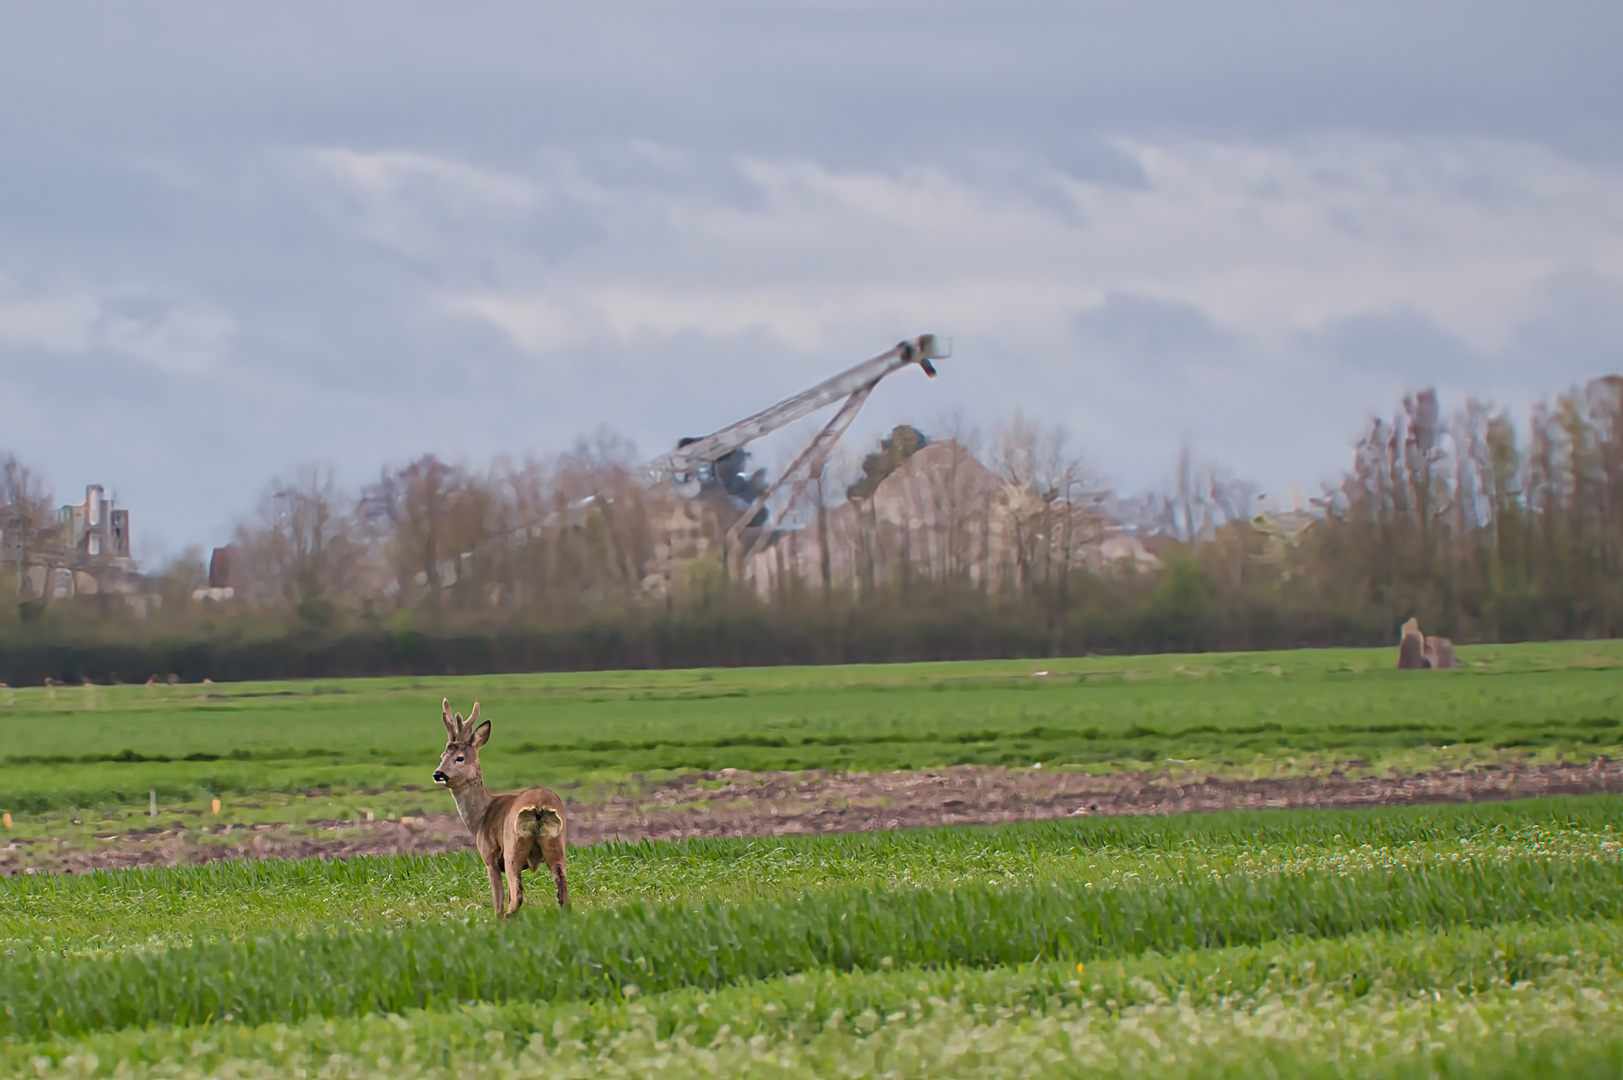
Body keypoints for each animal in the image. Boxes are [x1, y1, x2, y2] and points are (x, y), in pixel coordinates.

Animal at [431, 698, 571, 909]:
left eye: (459, 758)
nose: (438, 774)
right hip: (556, 846)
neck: (481, 817)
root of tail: (539, 807)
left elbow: (498, 902)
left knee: (516, 897)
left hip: (513, 848)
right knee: (563, 893)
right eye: (441, 756)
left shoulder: (490, 857)